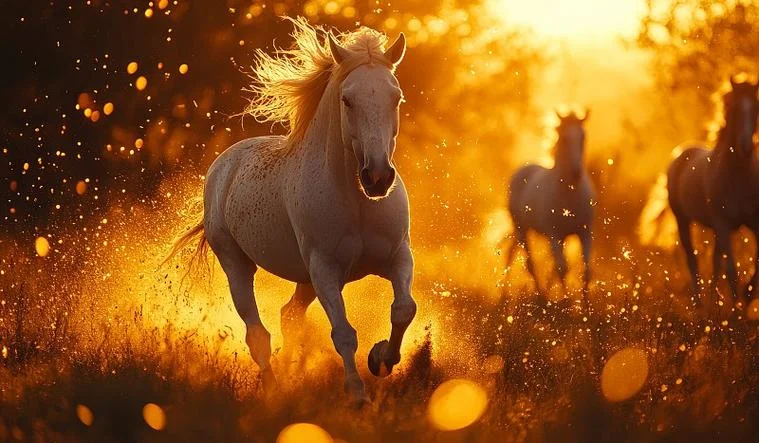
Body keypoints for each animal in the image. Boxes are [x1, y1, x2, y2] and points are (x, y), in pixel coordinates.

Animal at [166, 18, 413, 405]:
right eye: (347, 100)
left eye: (396, 97)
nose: (377, 178)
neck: (358, 203)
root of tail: (224, 164)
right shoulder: (325, 269)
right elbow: (343, 333)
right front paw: (357, 395)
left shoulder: (397, 256)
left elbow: (403, 309)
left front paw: (381, 360)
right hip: (238, 265)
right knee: (258, 334)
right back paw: (273, 392)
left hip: (304, 280)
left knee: (289, 317)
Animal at [505, 110, 594, 303]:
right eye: (564, 138)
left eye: (583, 137)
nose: (576, 173)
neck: (569, 194)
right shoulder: (555, 236)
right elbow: (563, 268)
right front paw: (567, 303)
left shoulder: (585, 233)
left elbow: (586, 270)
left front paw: (586, 307)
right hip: (521, 229)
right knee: (529, 263)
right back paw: (540, 296)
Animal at [667, 77, 759, 300]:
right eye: (735, 109)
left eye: (756, 107)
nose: (746, 147)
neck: (738, 177)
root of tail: (680, 154)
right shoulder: (724, 225)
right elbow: (732, 272)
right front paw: (736, 308)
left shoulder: (754, 225)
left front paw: (748, 296)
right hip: (683, 221)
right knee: (693, 260)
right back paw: (699, 303)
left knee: (715, 262)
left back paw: (712, 300)